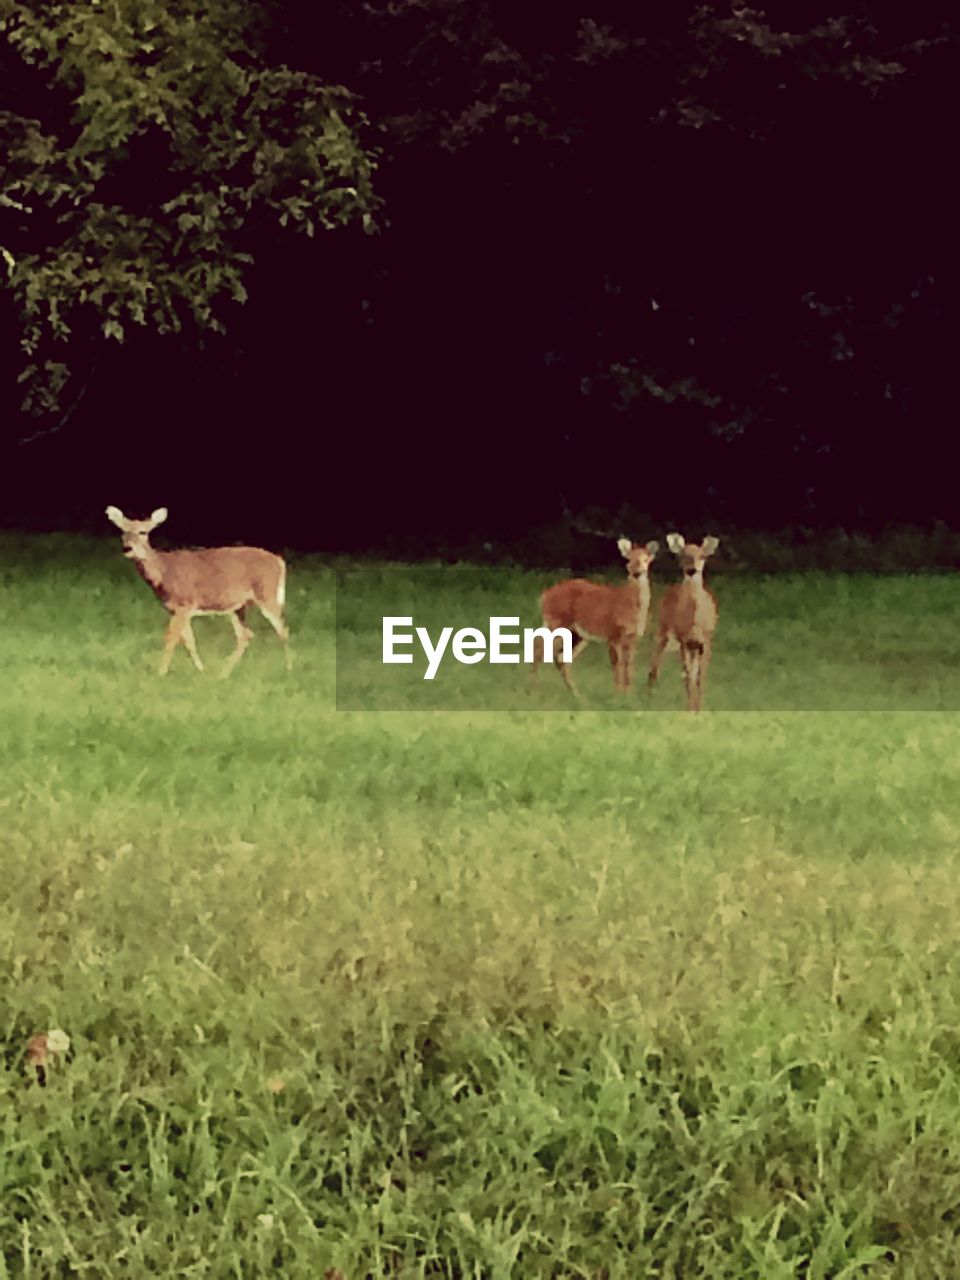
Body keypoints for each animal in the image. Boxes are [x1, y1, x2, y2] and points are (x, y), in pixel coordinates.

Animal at [104, 504, 291, 675]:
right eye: (122, 531)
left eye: (143, 532)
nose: (128, 549)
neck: (164, 573)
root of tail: (279, 561)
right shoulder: (178, 609)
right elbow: (189, 641)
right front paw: (201, 670)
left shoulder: (183, 604)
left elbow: (171, 639)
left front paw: (160, 673)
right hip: (238, 607)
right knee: (245, 635)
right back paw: (223, 674)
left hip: (266, 594)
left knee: (282, 630)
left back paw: (289, 669)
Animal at [535, 540, 660, 701]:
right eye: (629, 559)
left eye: (646, 559)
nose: (637, 573)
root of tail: (544, 596)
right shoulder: (613, 634)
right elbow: (617, 665)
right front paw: (618, 695)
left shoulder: (633, 637)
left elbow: (629, 666)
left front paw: (629, 695)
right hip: (557, 621)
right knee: (540, 647)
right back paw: (532, 689)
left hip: (577, 634)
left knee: (561, 657)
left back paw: (577, 695)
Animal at [647, 529, 721, 711]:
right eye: (682, 555)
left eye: (702, 556)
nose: (691, 570)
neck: (695, 622)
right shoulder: (683, 640)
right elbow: (689, 677)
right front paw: (690, 709)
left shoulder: (706, 639)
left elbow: (699, 677)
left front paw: (698, 708)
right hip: (664, 628)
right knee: (656, 658)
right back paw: (649, 692)